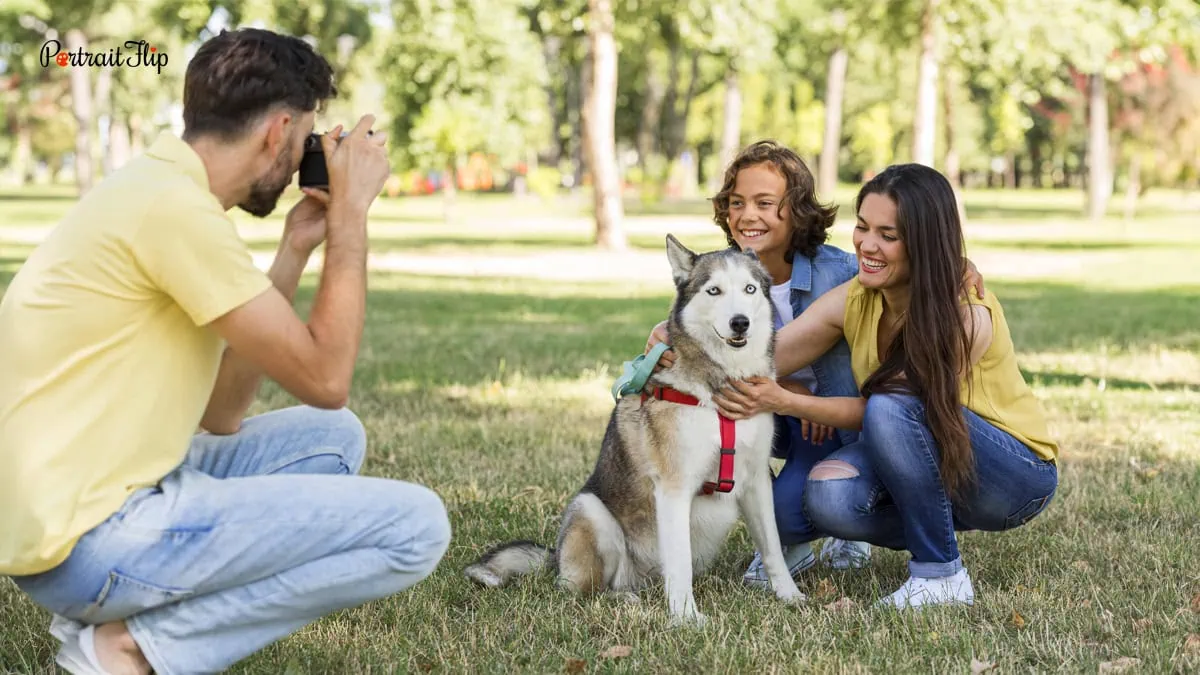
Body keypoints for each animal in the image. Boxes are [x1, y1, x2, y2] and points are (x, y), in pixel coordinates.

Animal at [460, 234, 806, 624]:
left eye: (750, 289)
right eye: (714, 290)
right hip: (591, 512)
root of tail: (556, 557)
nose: (740, 323)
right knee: (584, 592)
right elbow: (680, 564)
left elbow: (773, 547)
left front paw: (789, 595)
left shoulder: (756, 482)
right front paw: (685, 618)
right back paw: (623, 600)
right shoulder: (673, 488)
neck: (719, 391)